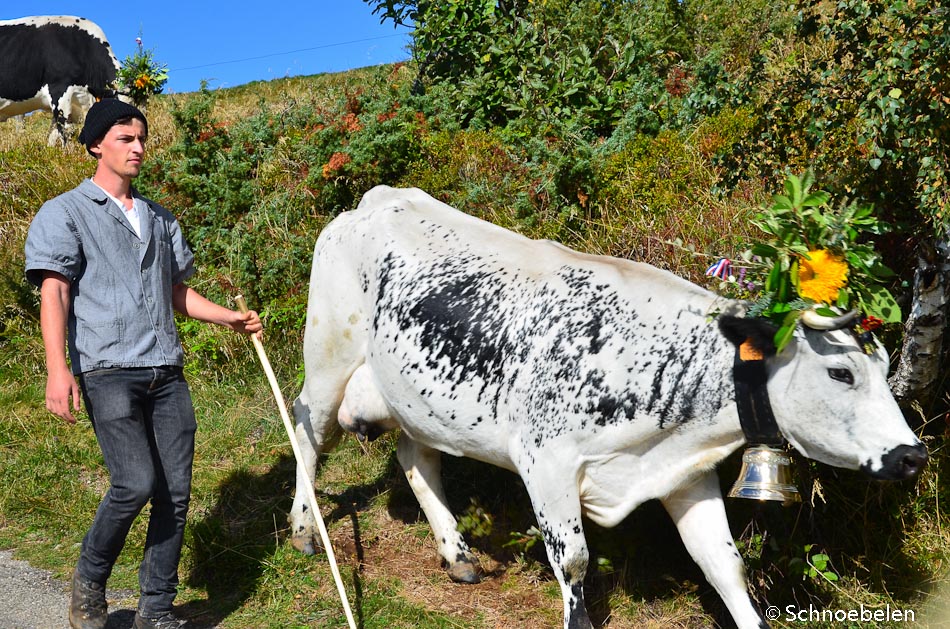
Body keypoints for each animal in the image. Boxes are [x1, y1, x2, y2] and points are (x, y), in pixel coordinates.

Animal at [292, 184, 928, 624]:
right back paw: (303, 529)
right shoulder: (545, 462)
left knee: (415, 457)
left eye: (885, 367)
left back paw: (457, 554)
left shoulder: (684, 473)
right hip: (327, 358)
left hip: (419, 398)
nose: (912, 456)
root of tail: (378, 198)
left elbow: (725, 565)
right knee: (306, 430)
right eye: (841, 371)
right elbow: (574, 563)